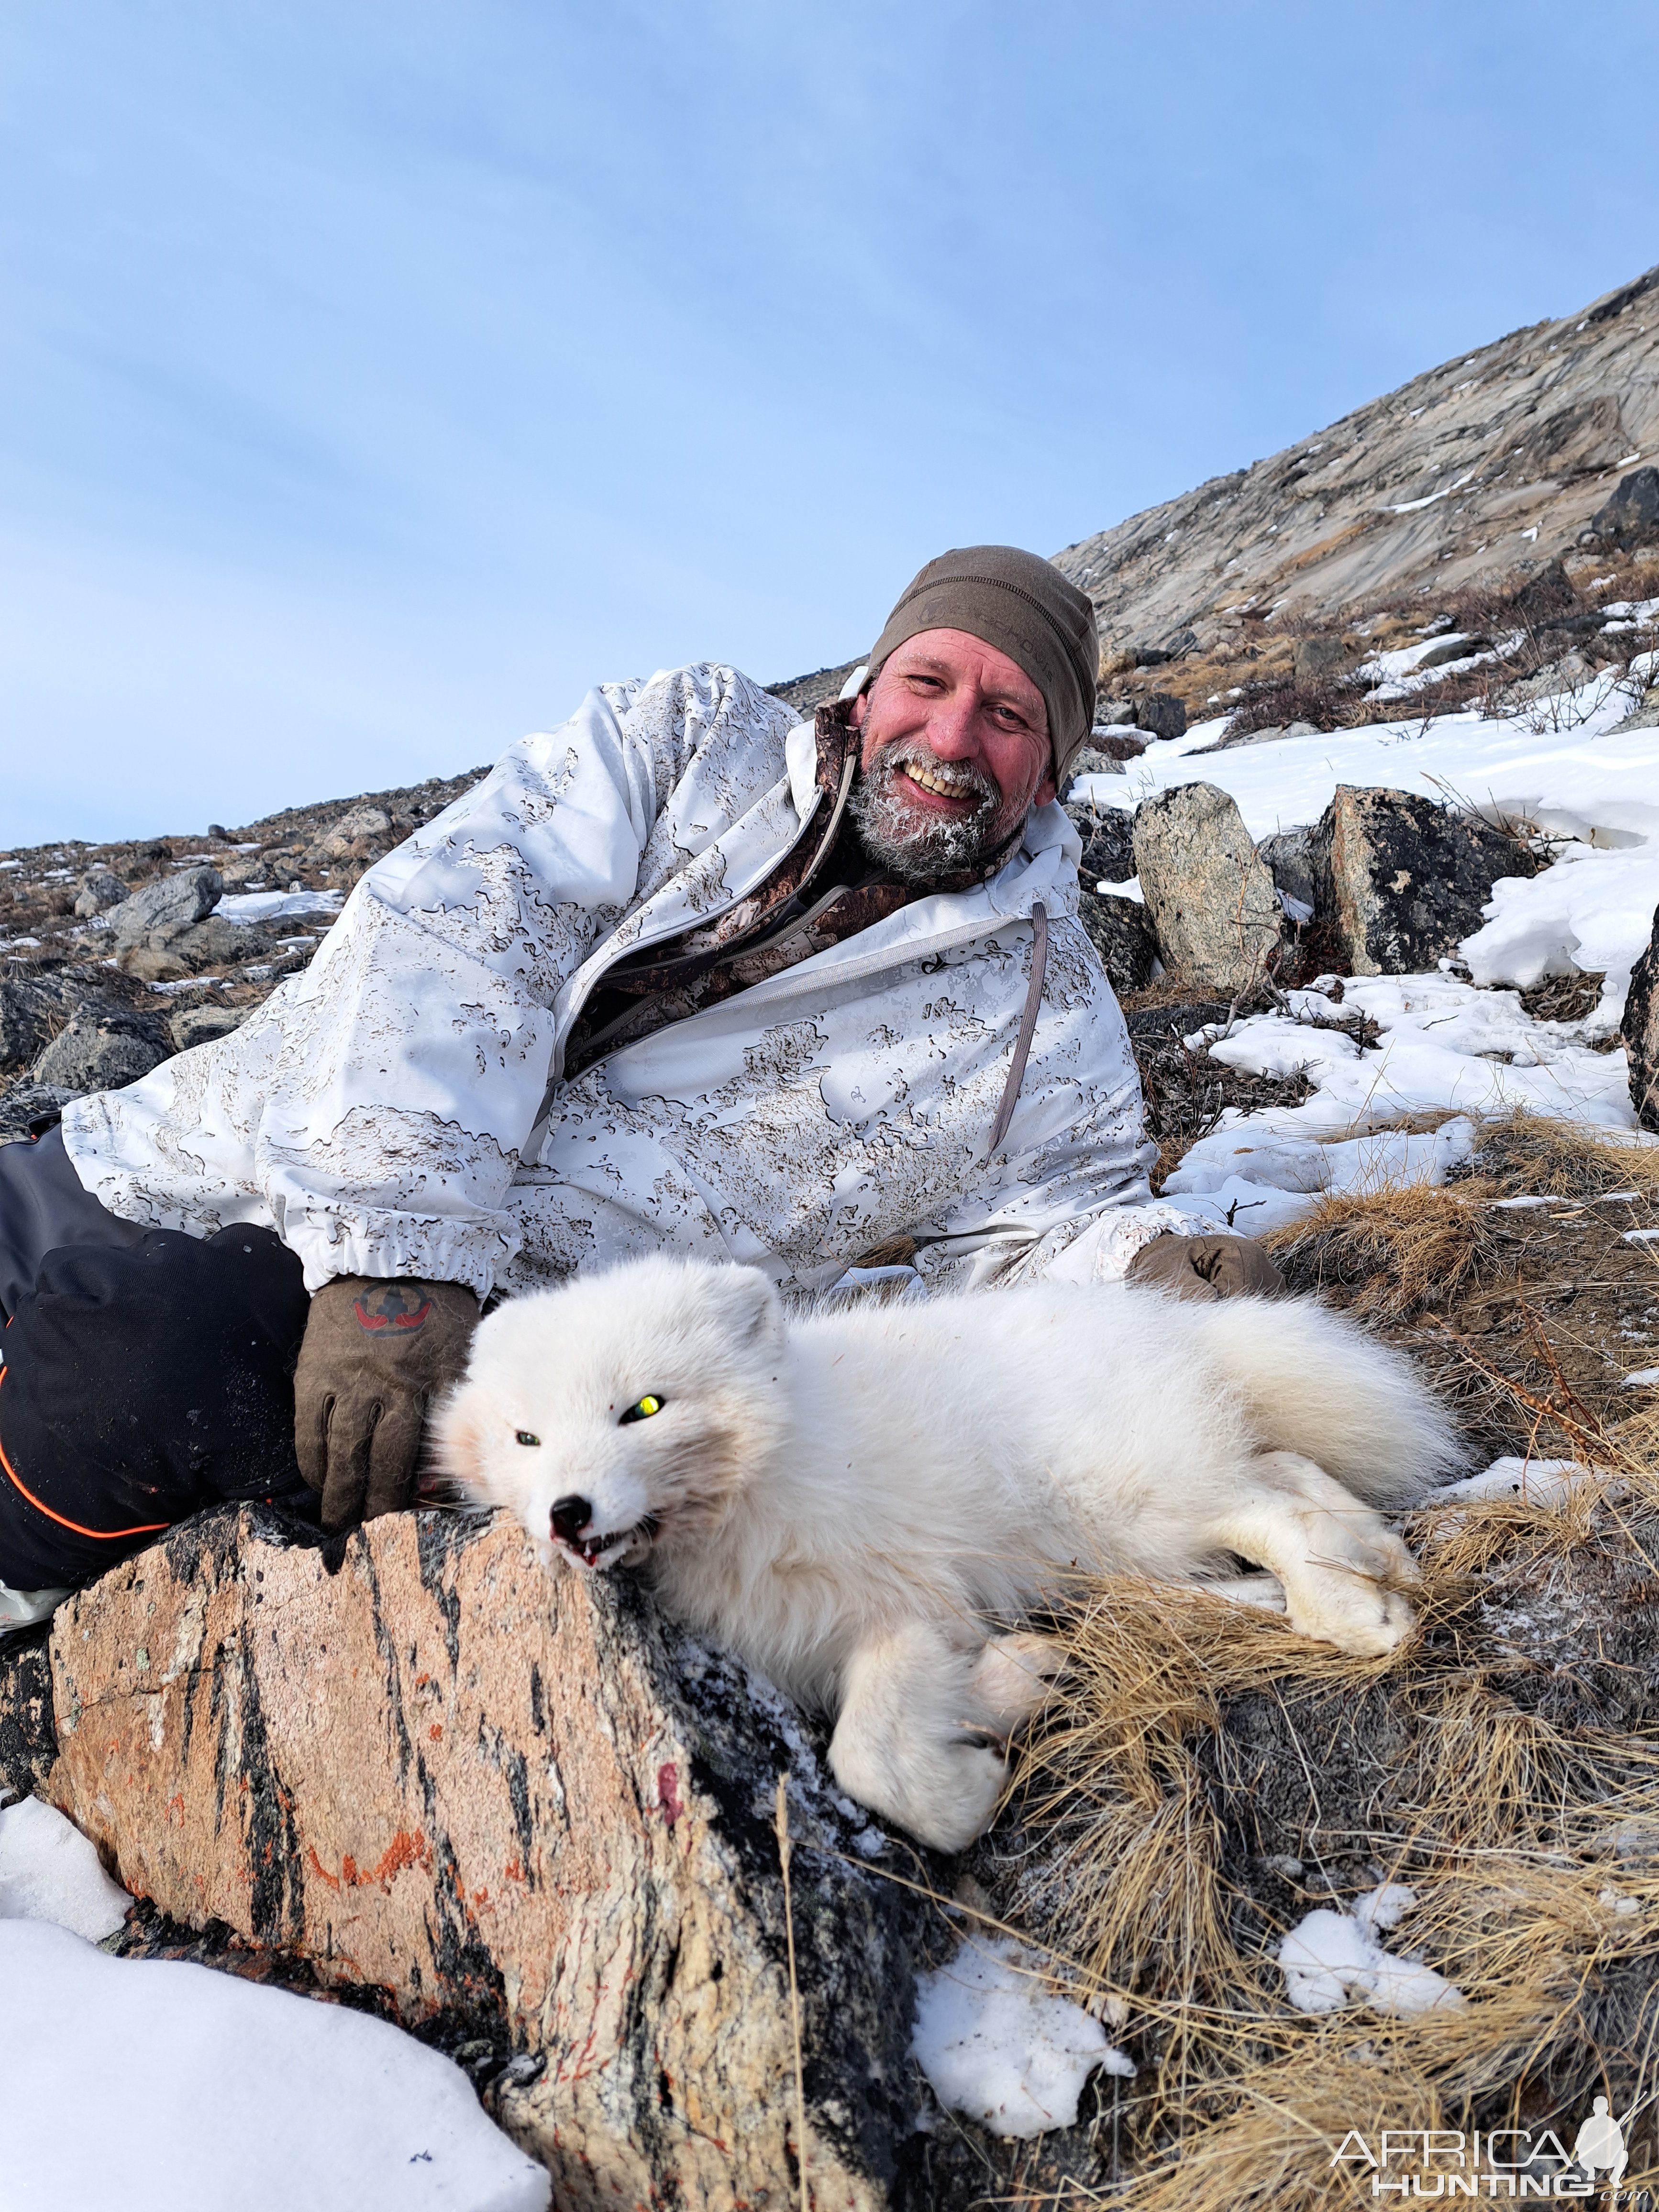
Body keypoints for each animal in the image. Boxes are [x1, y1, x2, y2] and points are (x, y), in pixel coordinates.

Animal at [435, 1265, 1460, 1849]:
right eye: (526, 1437)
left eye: (642, 1408)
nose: (566, 1514)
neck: (770, 1474)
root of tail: (1172, 1324)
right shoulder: (879, 1623)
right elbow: (892, 1731)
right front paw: (1013, 1685)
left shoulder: (909, 1595)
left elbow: (864, 1760)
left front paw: (966, 1797)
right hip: (1111, 1544)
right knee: (1278, 1482)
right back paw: (1380, 1562)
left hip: (1127, 1505)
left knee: (1268, 1507)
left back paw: (1354, 1612)